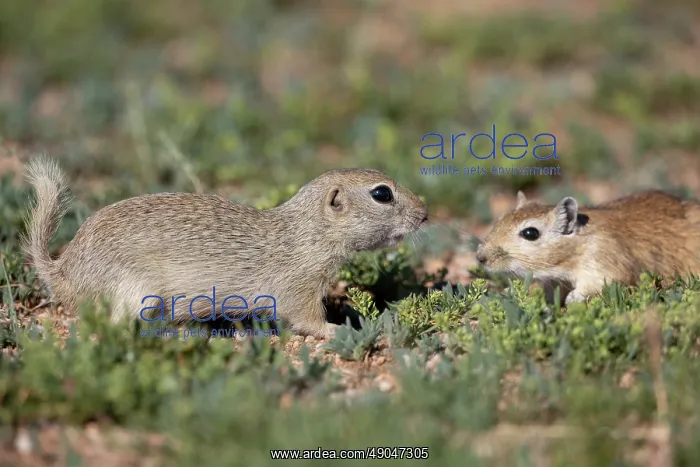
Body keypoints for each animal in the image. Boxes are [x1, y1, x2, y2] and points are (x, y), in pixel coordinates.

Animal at [22, 157, 428, 338]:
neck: (306, 232)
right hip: (139, 294)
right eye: (382, 194)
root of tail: (62, 273)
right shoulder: (298, 288)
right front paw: (335, 330)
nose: (425, 214)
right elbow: (307, 318)